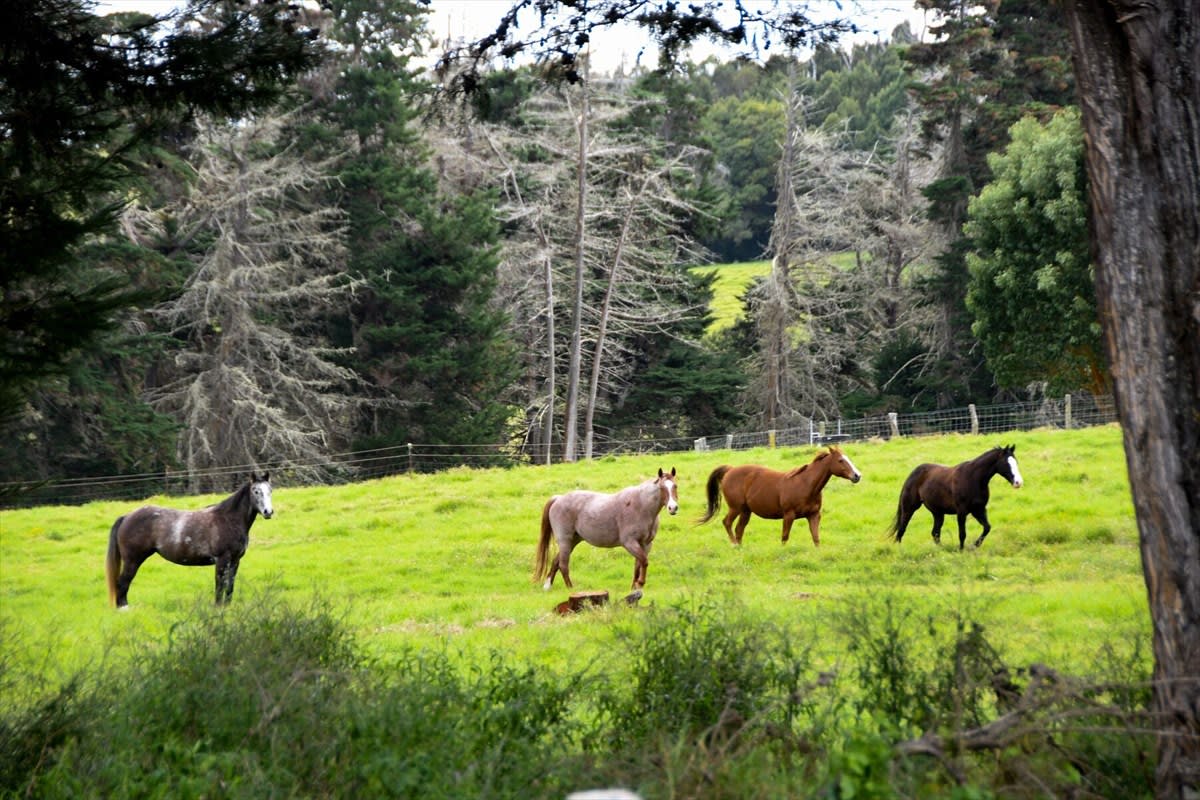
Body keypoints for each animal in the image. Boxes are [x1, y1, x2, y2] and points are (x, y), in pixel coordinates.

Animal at [106, 470, 274, 606]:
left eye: (270, 490)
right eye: (256, 491)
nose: (268, 512)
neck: (228, 519)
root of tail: (127, 517)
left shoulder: (235, 561)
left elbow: (229, 586)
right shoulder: (221, 560)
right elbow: (219, 585)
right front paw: (218, 608)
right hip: (132, 560)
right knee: (122, 583)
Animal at [532, 465, 676, 592]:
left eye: (675, 486)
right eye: (662, 487)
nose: (673, 508)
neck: (641, 506)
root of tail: (558, 498)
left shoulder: (646, 544)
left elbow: (638, 565)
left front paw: (634, 588)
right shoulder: (630, 543)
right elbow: (644, 562)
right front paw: (640, 583)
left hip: (573, 541)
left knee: (556, 561)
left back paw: (547, 586)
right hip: (565, 541)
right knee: (563, 565)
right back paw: (571, 589)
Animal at [696, 448, 864, 546]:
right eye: (840, 460)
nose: (857, 476)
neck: (806, 484)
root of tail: (730, 470)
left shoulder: (814, 515)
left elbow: (816, 538)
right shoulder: (788, 515)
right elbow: (785, 537)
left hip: (746, 511)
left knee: (739, 529)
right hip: (736, 508)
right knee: (727, 523)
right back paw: (734, 545)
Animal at [892, 443, 1022, 551]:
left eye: (1016, 462)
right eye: (1006, 463)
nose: (1018, 482)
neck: (973, 479)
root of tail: (912, 474)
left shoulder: (979, 510)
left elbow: (987, 527)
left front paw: (975, 545)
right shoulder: (962, 511)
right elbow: (962, 533)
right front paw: (961, 550)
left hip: (938, 513)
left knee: (935, 533)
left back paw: (942, 549)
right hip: (909, 508)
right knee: (902, 529)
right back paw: (899, 550)